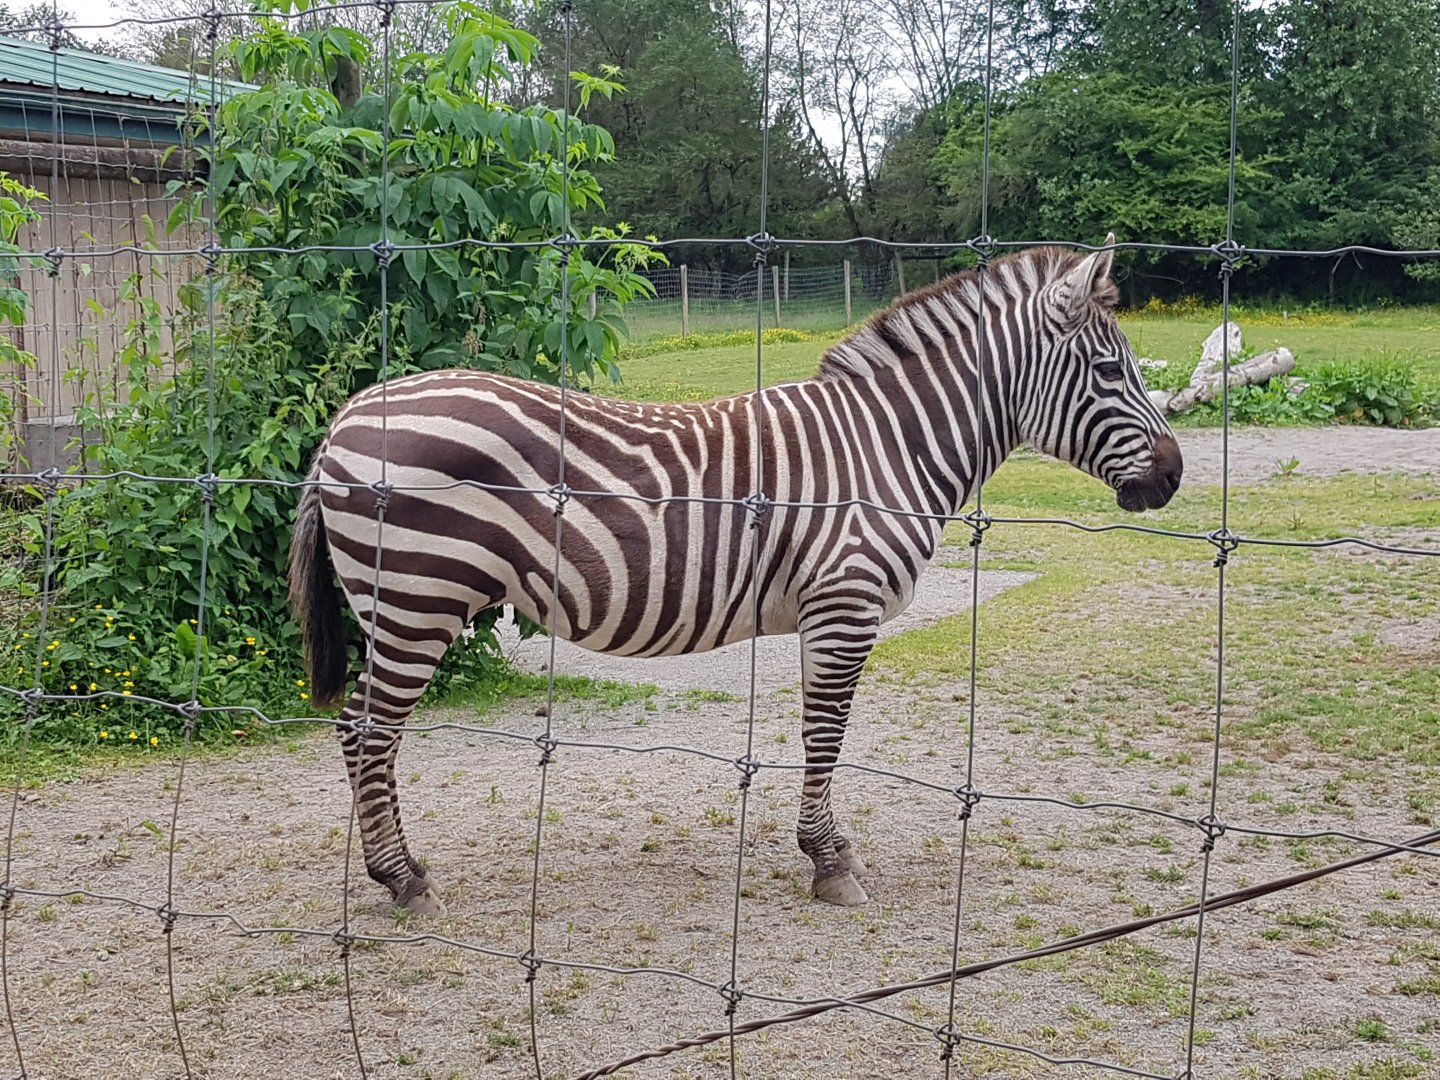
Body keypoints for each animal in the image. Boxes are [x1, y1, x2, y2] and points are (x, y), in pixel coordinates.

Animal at [288, 235, 1183, 914]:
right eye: (1112, 372)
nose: (1173, 477)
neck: (890, 445)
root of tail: (347, 416)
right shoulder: (844, 603)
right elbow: (826, 733)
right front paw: (829, 863)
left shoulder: (826, 611)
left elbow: (820, 732)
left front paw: (827, 850)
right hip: (418, 601)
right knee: (367, 732)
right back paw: (403, 883)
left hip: (403, 606)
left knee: (358, 731)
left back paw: (398, 872)